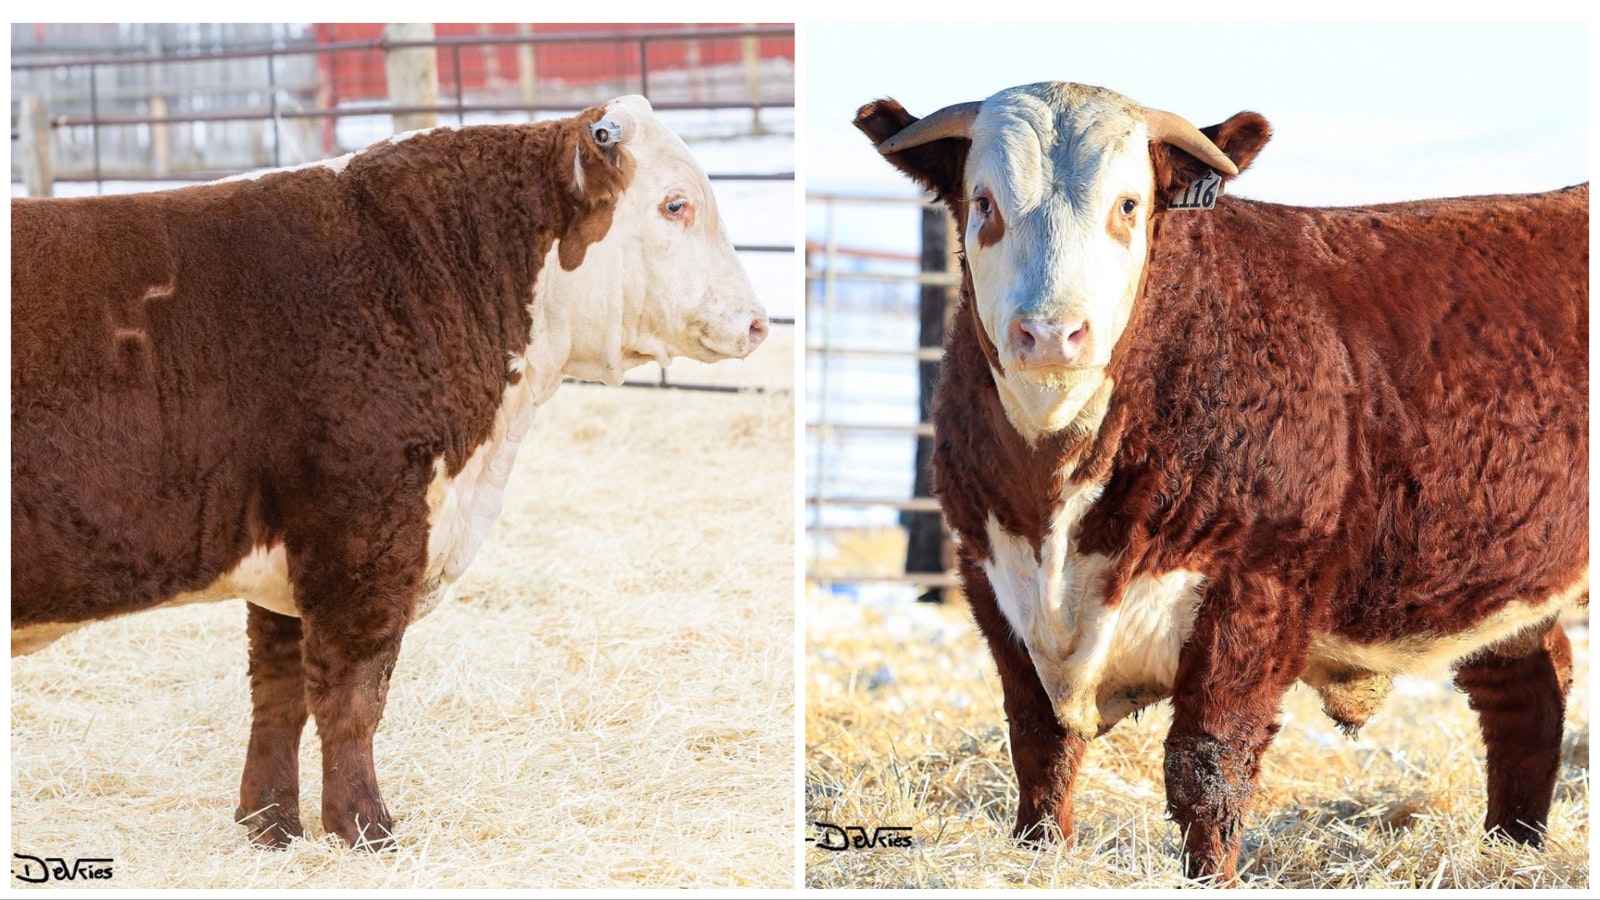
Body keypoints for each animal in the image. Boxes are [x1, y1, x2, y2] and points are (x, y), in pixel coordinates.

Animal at [11, 94, 769, 850]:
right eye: (675, 204)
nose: (760, 323)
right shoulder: (363, 534)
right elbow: (353, 696)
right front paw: (366, 828)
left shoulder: (291, 549)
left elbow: (278, 692)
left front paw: (270, 824)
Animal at [854, 81, 1586, 882]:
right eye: (984, 202)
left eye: (1129, 204)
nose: (1052, 334)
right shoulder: (992, 577)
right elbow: (1039, 746)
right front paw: (1039, 854)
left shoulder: (1256, 586)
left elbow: (1207, 764)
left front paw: (1210, 874)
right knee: (1525, 694)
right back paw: (1513, 848)